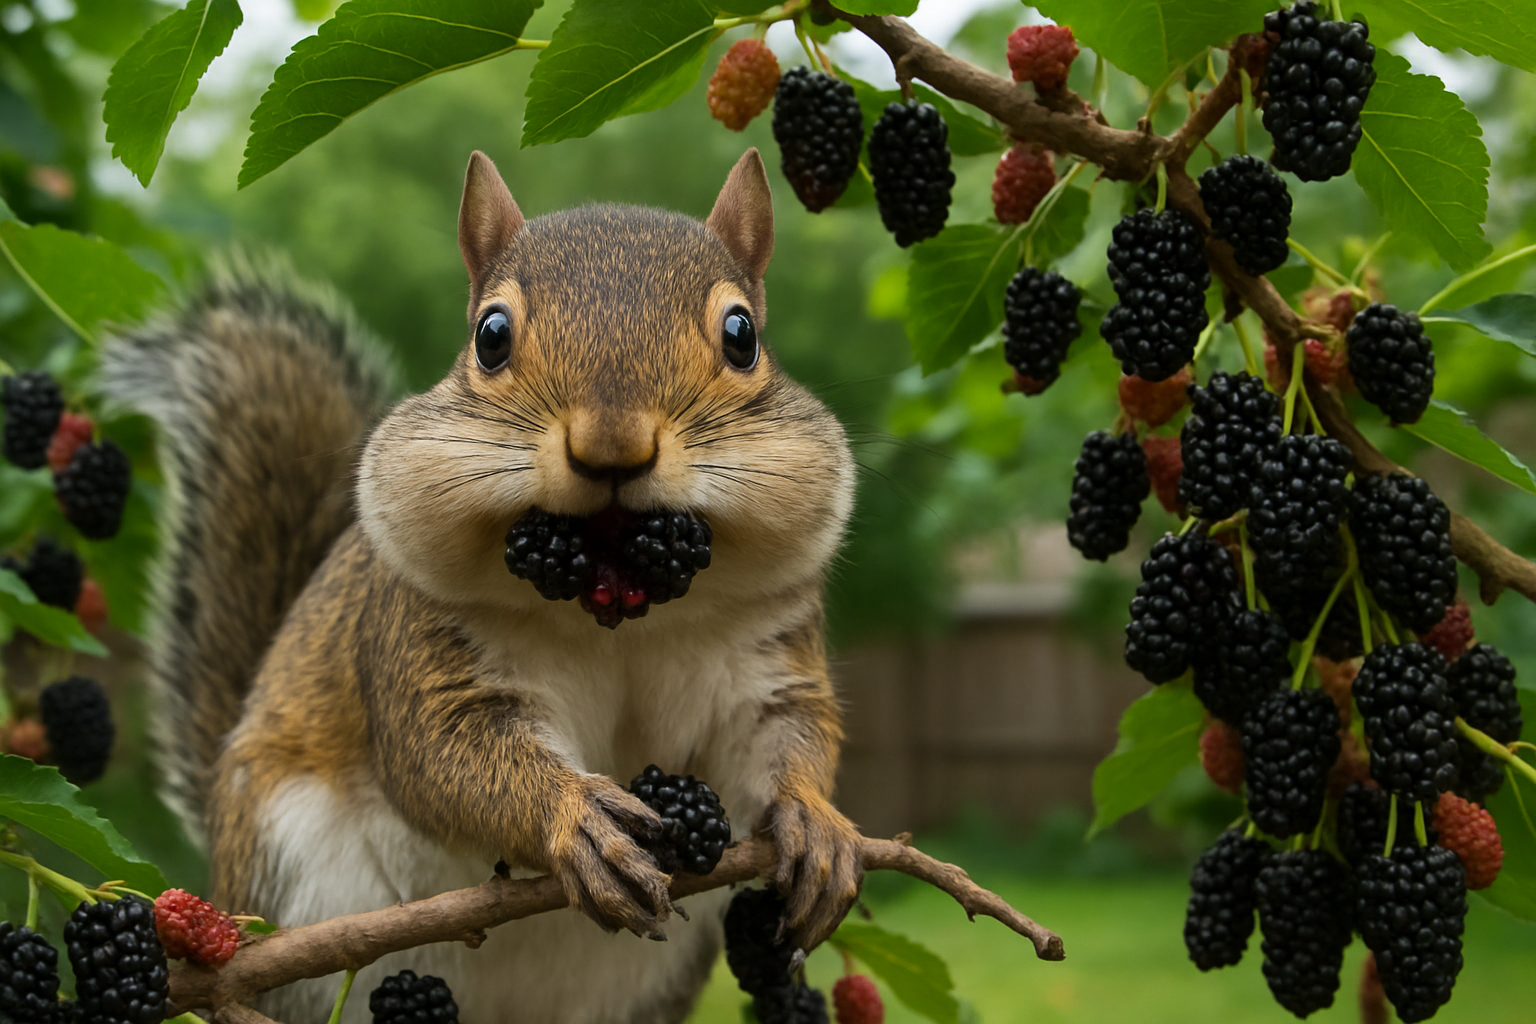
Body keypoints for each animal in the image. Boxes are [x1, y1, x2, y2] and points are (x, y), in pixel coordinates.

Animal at [98, 148, 862, 1023]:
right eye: (490, 336)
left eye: (743, 336)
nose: (612, 446)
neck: (618, 605)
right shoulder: (427, 645)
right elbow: (445, 757)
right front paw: (574, 819)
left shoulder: (768, 655)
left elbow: (785, 733)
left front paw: (815, 822)